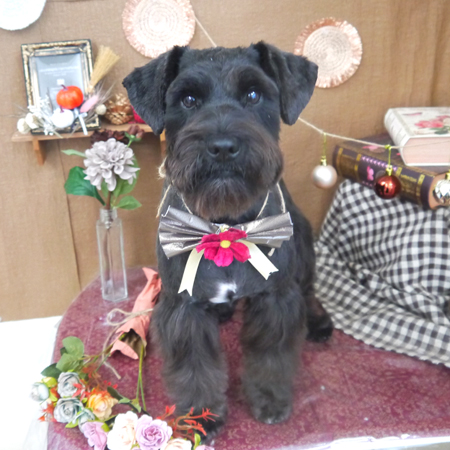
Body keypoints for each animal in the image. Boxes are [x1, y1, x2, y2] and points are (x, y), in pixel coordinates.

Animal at [123, 42, 333, 439]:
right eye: (188, 99)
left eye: (253, 95)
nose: (222, 146)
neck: (226, 227)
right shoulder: (183, 308)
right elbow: (194, 367)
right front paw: (200, 415)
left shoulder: (275, 299)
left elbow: (270, 355)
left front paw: (269, 400)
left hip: (304, 248)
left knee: (310, 291)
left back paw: (319, 322)